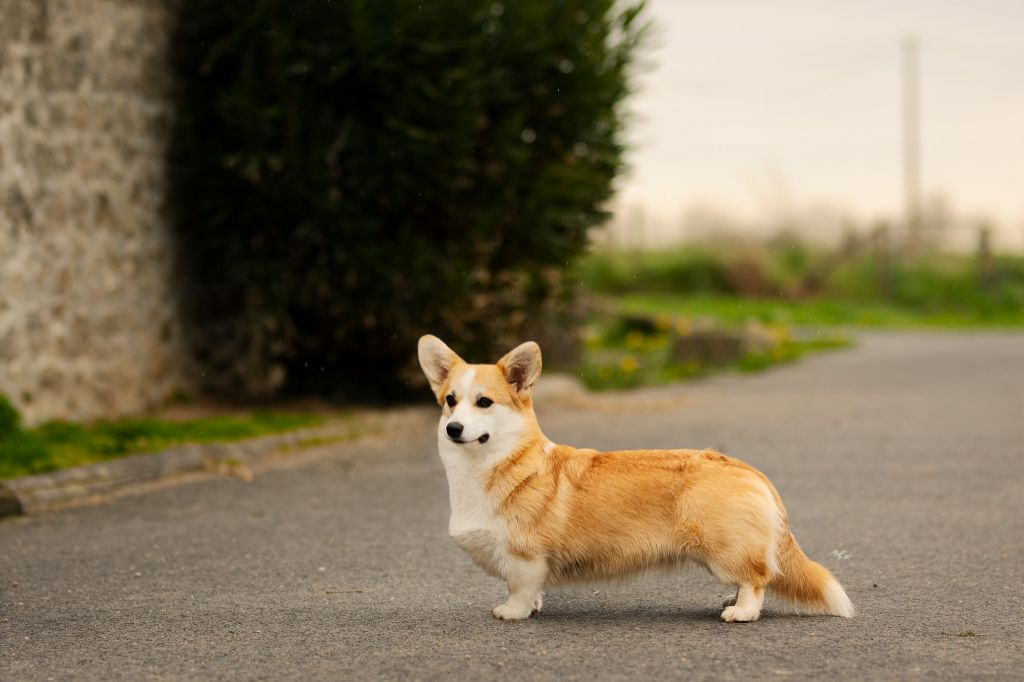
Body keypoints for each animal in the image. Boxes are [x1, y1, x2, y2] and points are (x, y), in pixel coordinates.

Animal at [415, 333, 856, 622]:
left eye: (484, 402)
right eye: (450, 400)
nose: (453, 429)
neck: (496, 462)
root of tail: (750, 471)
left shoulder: (525, 556)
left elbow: (520, 588)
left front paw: (513, 612)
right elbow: (533, 591)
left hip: (724, 549)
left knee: (757, 579)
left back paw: (741, 613)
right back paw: (730, 603)